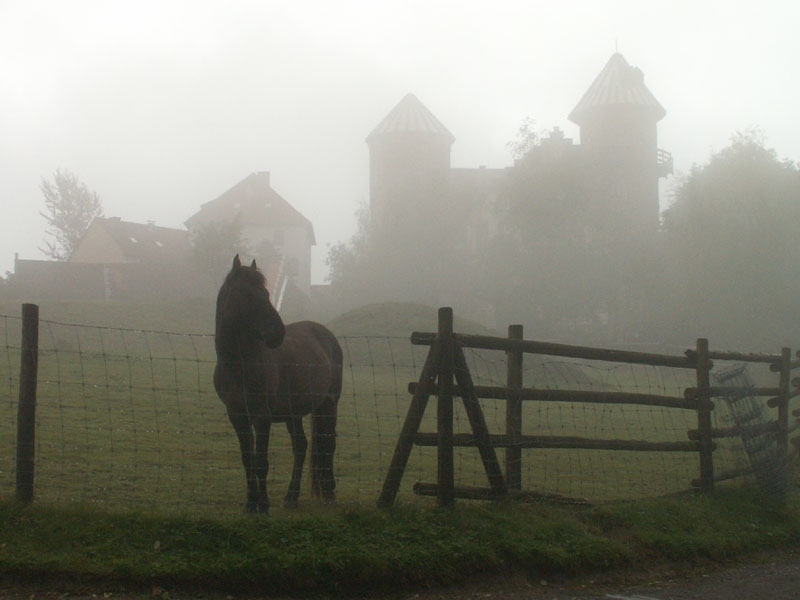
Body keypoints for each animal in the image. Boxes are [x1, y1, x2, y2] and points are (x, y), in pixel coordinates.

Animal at [212, 255, 340, 512]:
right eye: (247, 294)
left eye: (266, 293)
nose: (277, 333)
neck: (239, 364)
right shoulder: (238, 415)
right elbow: (248, 460)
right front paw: (251, 502)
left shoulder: (262, 416)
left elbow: (261, 461)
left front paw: (262, 504)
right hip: (294, 413)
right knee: (301, 446)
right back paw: (291, 497)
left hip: (329, 404)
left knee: (328, 443)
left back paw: (330, 493)